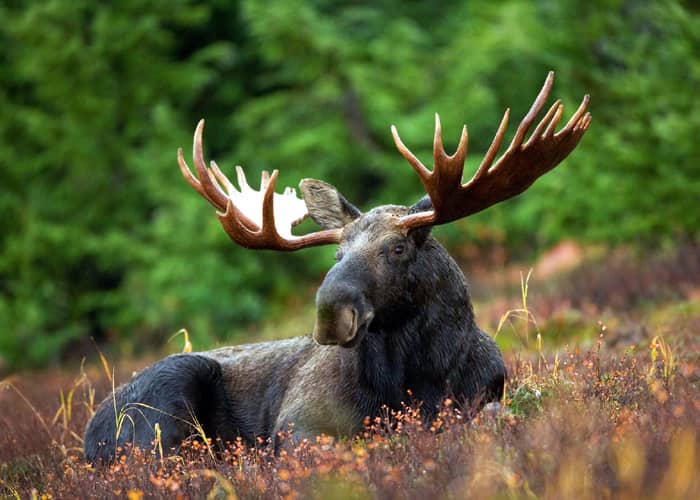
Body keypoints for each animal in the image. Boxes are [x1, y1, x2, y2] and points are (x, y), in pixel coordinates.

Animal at [86, 72, 592, 462]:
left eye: (397, 248)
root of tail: (89, 436)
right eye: (337, 254)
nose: (330, 313)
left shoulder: (485, 396)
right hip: (166, 399)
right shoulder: (298, 424)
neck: (417, 378)